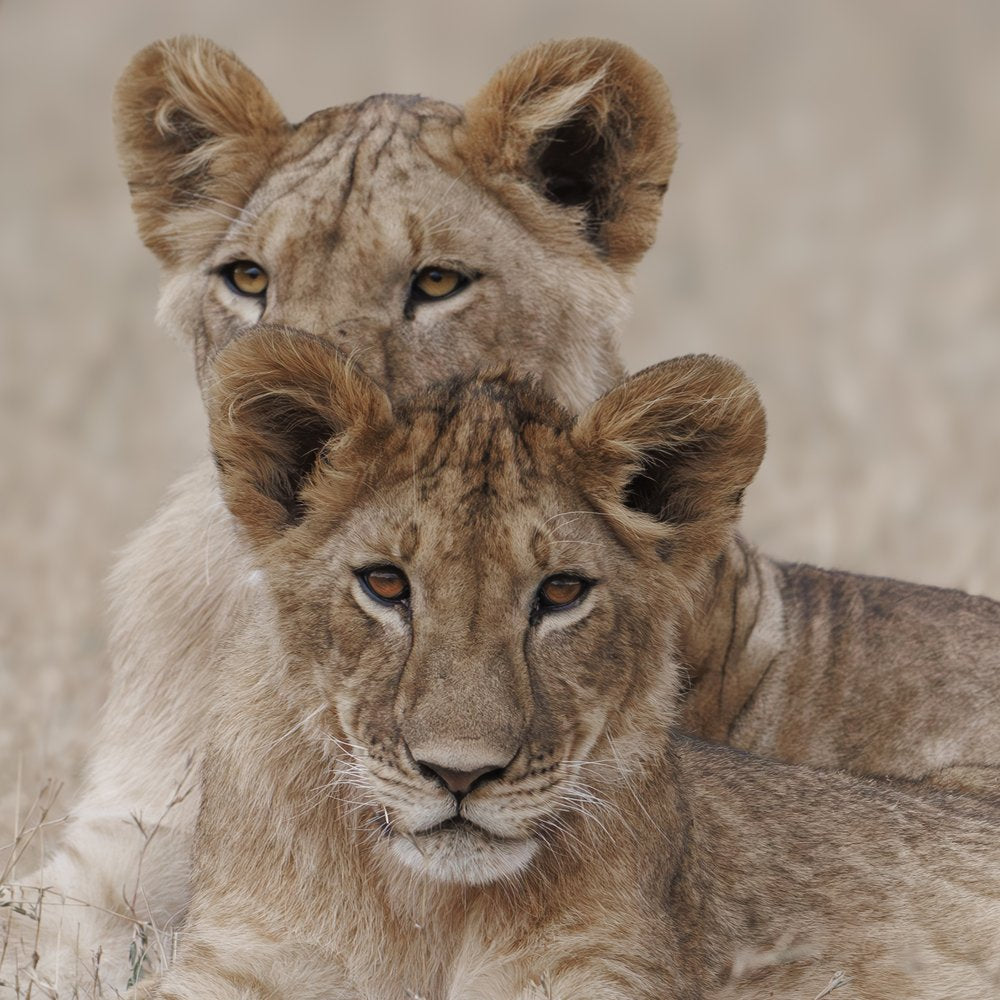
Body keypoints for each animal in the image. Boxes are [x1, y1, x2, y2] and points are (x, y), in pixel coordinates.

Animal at [149, 327, 1000, 1000]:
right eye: (385, 584)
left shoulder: (604, 970)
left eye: (560, 592)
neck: (428, 913)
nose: (459, 775)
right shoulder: (239, 960)